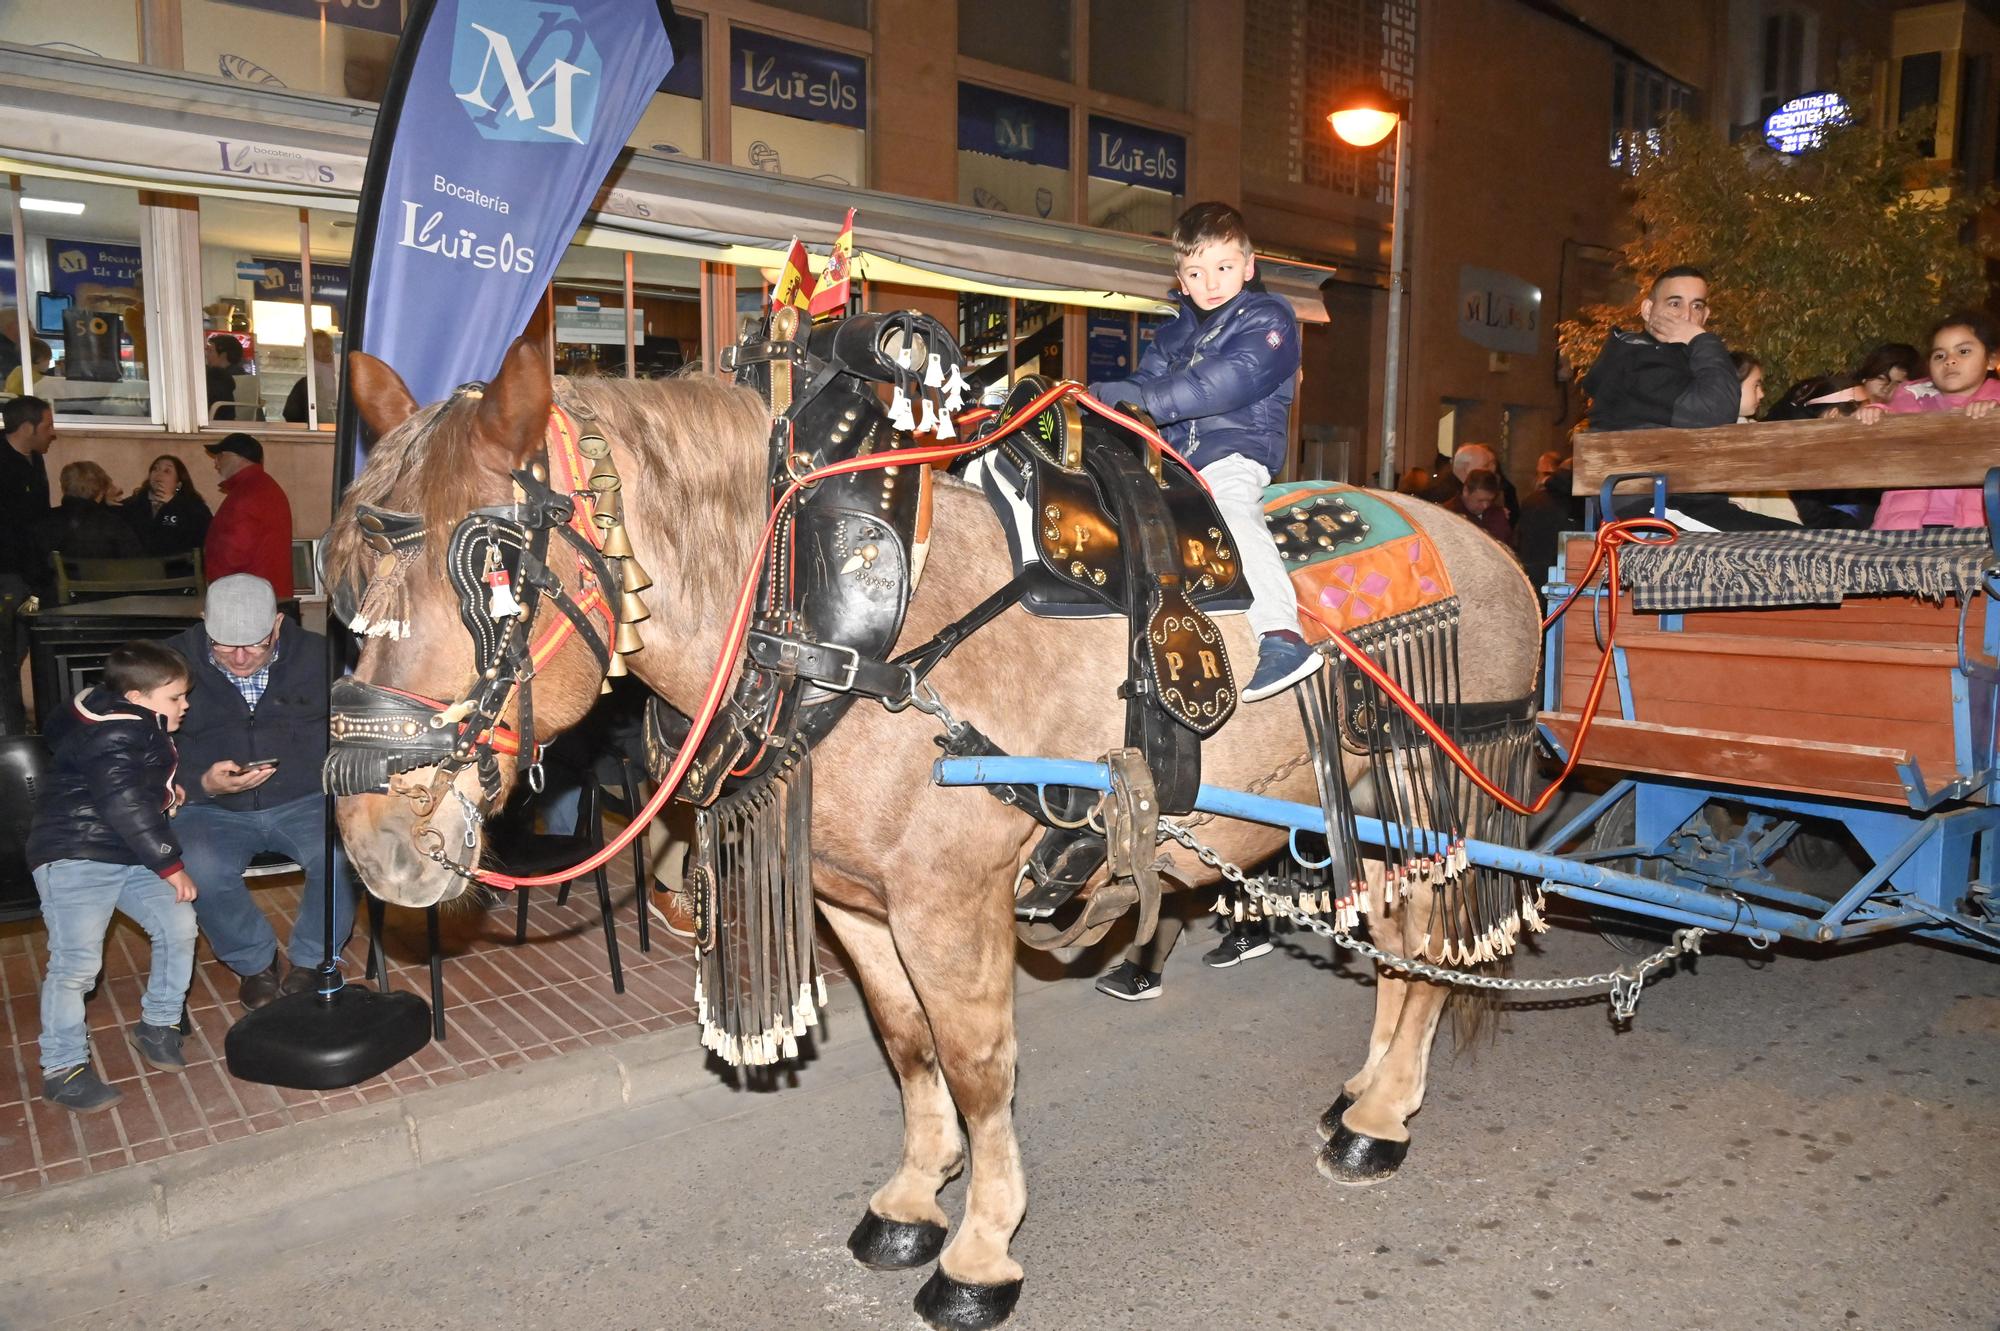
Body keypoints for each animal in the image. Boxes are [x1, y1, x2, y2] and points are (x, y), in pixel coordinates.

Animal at [328, 323, 1544, 1327]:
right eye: (346, 580)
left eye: (491, 571)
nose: (377, 841)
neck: (833, 621)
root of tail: (1493, 554)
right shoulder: (858, 903)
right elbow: (908, 1045)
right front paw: (916, 1197)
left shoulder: (950, 902)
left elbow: (978, 1065)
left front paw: (981, 1250)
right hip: (1371, 806)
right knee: (1401, 943)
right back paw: (1363, 1092)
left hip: (1434, 786)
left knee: (1430, 941)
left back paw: (1380, 1116)